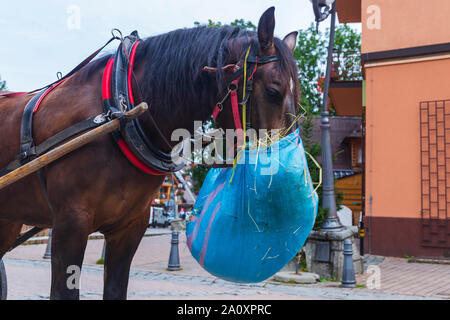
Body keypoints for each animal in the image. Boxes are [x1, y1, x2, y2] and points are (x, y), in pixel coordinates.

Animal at [0, 6, 302, 298]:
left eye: (297, 98)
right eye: (273, 91)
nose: (283, 171)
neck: (120, 113)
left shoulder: (130, 227)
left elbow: (116, 288)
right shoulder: (69, 224)